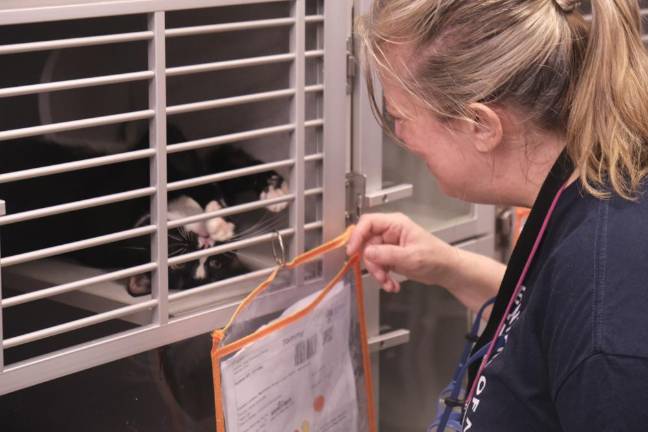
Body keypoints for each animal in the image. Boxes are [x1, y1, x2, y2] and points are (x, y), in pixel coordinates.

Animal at [0, 125, 288, 296]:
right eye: (180, 263)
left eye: (216, 263)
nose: (205, 242)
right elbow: (201, 175)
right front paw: (222, 219)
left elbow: (220, 167)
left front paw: (272, 192)